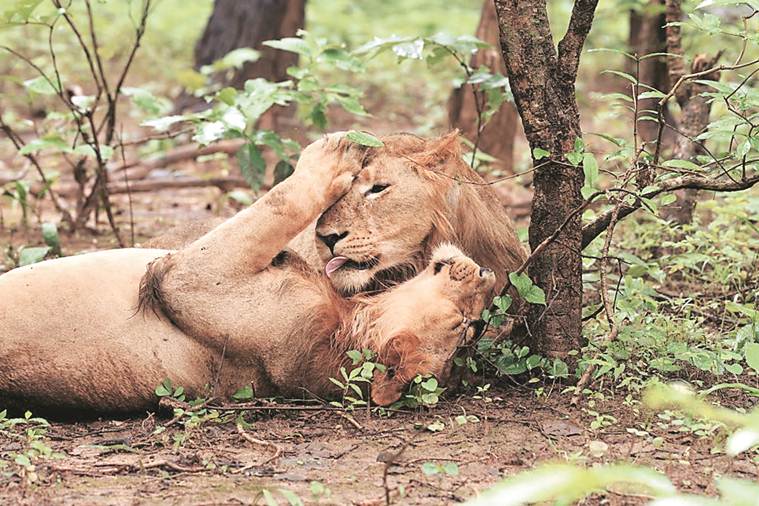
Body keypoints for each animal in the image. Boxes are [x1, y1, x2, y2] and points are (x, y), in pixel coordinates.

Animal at [0, 134, 495, 413]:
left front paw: (330, 155)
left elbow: (281, 202)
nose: (485, 278)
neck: (349, 320)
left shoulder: (188, 278)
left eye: (464, 327)